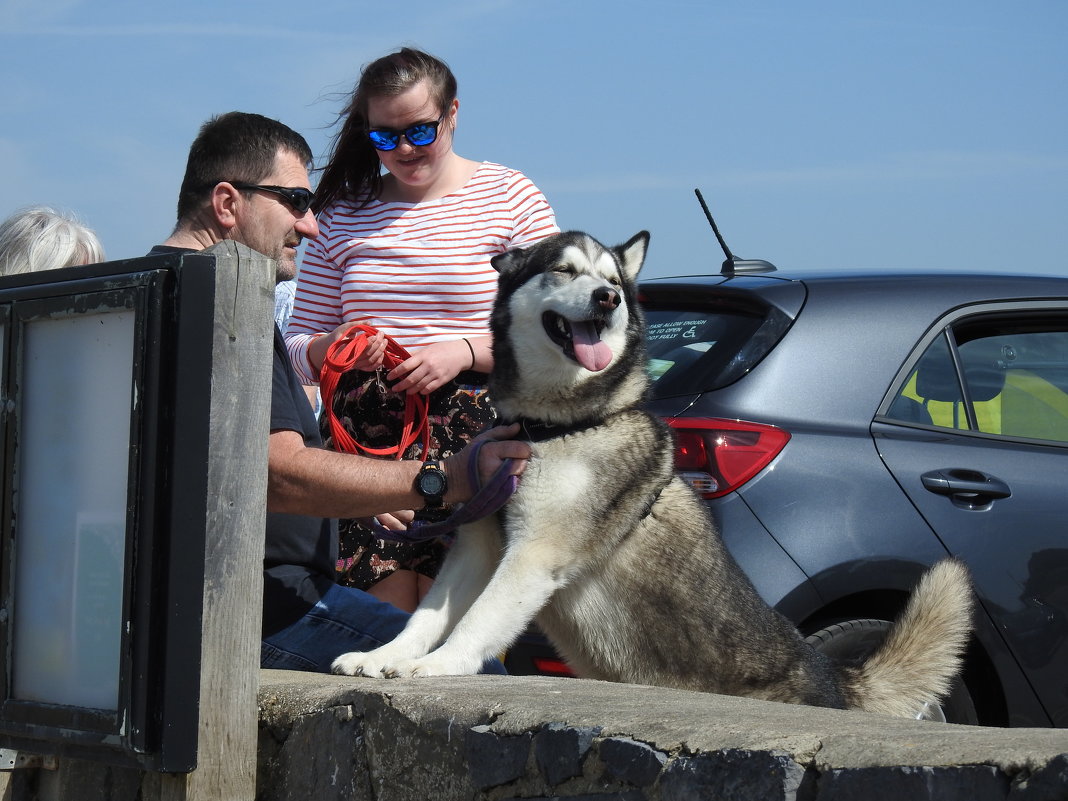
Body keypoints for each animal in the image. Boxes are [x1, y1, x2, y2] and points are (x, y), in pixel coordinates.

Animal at [335, 230, 978, 713]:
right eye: (564, 270)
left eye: (613, 281)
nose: (606, 300)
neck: (553, 428)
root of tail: (831, 674)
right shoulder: (479, 543)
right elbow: (425, 616)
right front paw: (383, 656)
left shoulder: (533, 553)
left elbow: (477, 621)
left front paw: (438, 666)